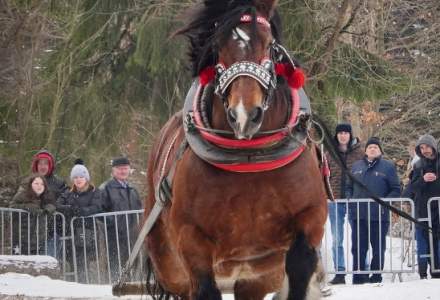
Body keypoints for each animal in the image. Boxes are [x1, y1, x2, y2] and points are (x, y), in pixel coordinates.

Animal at [144, 0, 326, 300]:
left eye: (269, 44)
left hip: (256, 276)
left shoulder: (310, 215)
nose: (244, 115)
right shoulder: (190, 239)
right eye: (218, 45)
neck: (249, 157)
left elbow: (300, 265)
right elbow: (204, 286)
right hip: (169, 266)